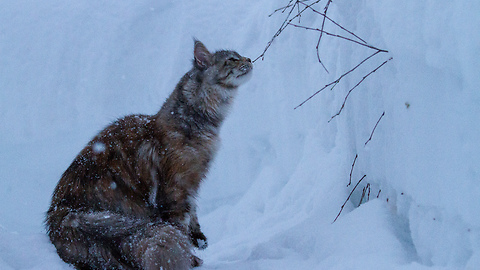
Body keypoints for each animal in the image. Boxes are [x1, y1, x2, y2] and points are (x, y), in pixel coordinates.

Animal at [46, 40, 253, 270]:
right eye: (232, 59)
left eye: (240, 55)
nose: (249, 59)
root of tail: (58, 214)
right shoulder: (177, 188)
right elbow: (181, 225)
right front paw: (191, 258)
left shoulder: (192, 185)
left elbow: (194, 216)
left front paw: (199, 241)